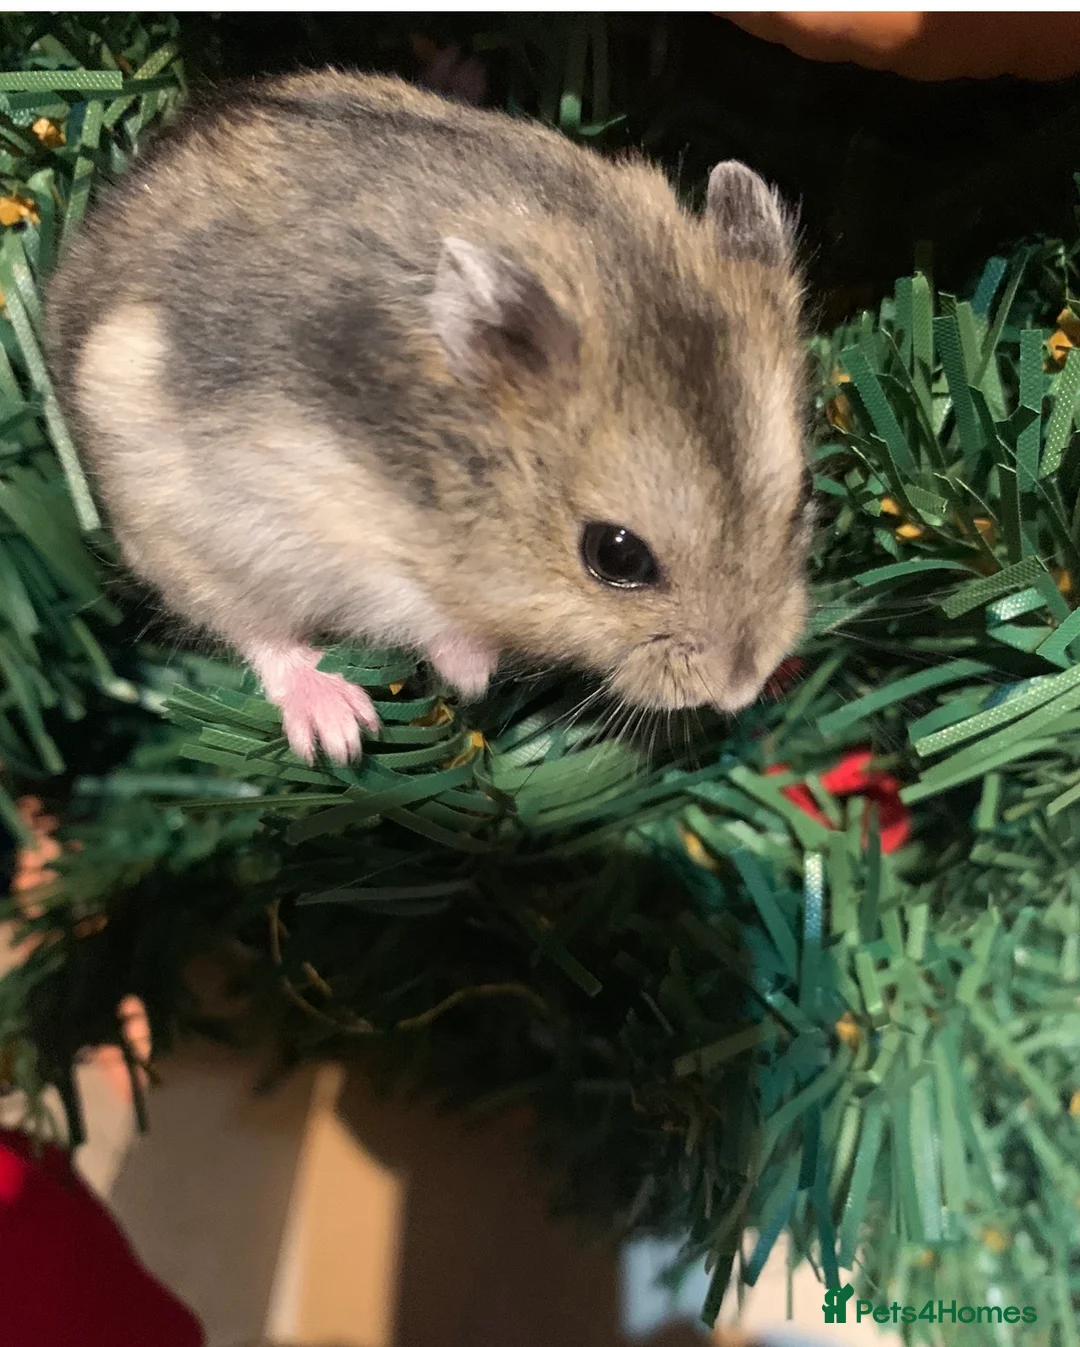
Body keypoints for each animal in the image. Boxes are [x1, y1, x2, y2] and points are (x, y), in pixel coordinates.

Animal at [44, 70, 812, 765]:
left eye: (804, 497)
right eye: (615, 555)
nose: (743, 687)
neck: (437, 480)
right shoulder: (322, 523)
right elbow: (416, 614)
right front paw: (472, 677)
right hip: (179, 527)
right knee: (255, 631)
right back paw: (340, 731)